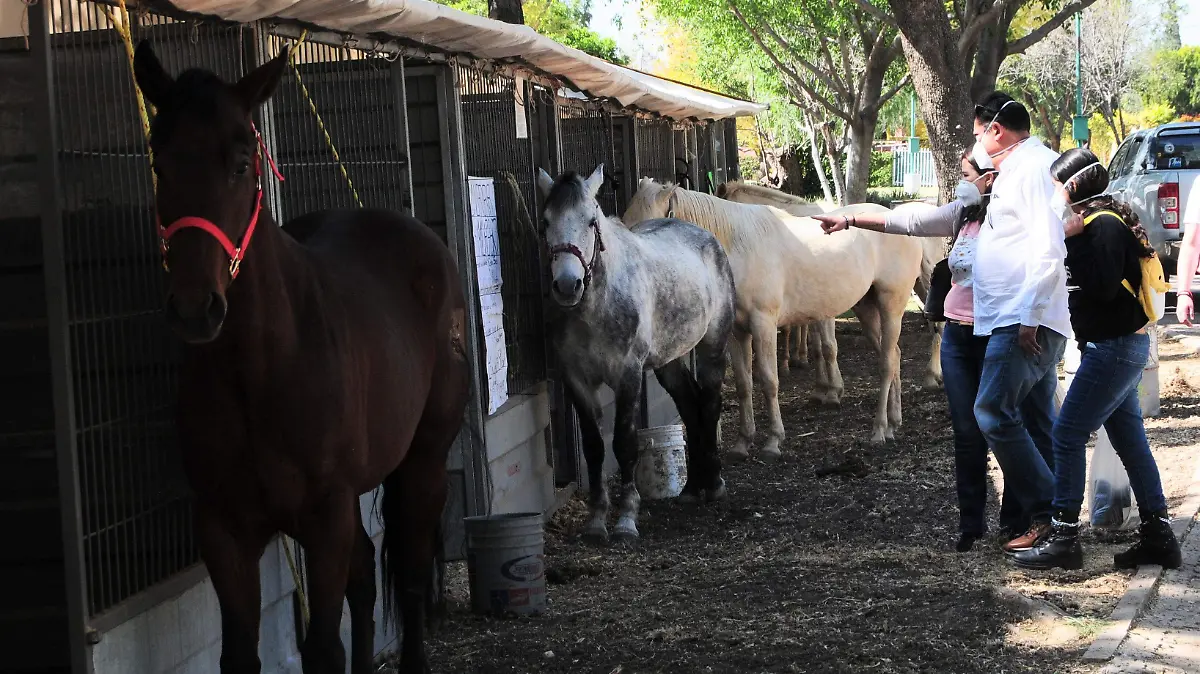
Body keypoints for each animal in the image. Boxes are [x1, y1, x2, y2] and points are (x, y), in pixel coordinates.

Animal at [133, 43, 469, 674]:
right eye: (160, 163)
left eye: (242, 164)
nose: (195, 308)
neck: (261, 369)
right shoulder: (223, 527)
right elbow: (242, 652)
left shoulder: (324, 516)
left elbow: (323, 648)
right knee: (366, 582)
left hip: (424, 460)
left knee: (411, 575)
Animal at [537, 165, 736, 545]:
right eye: (546, 221)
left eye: (591, 221)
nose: (567, 285)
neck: (596, 307)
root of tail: (706, 238)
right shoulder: (577, 380)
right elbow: (595, 447)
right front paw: (596, 521)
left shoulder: (627, 376)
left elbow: (625, 444)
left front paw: (626, 520)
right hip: (669, 361)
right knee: (689, 406)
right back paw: (692, 487)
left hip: (713, 346)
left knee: (709, 403)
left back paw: (716, 483)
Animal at [623, 180, 923, 453]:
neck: (739, 247)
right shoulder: (737, 332)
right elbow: (744, 384)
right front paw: (743, 442)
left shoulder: (763, 325)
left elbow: (768, 380)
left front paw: (773, 440)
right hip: (866, 309)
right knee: (894, 355)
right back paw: (894, 422)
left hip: (891, 306)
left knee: (886, 362)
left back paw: (879, 429)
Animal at [717, 181, 947, 391]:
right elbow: (815, 342)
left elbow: (826, 345)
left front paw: (831, 385)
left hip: (925, 283)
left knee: (938, 325)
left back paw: (933, 374)